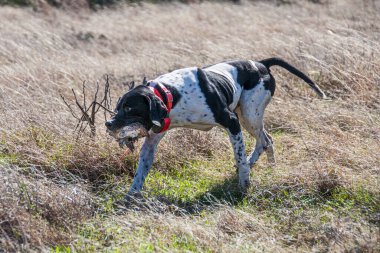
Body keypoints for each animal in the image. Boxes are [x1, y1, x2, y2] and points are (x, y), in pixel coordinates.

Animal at [104, 57, 326, 198]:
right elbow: (141, 172)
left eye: (130, 108)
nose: (108, 123)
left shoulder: (232, 122)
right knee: (266, 140)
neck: (174, 94)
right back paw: (267, 166)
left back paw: (257, 165)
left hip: (249, 116)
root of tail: (261, 64)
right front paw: (131, 196)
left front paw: (244, 185)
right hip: (247, 116)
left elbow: (239, 156)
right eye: (117, 106)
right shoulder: (151, 142)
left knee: (264, 140)